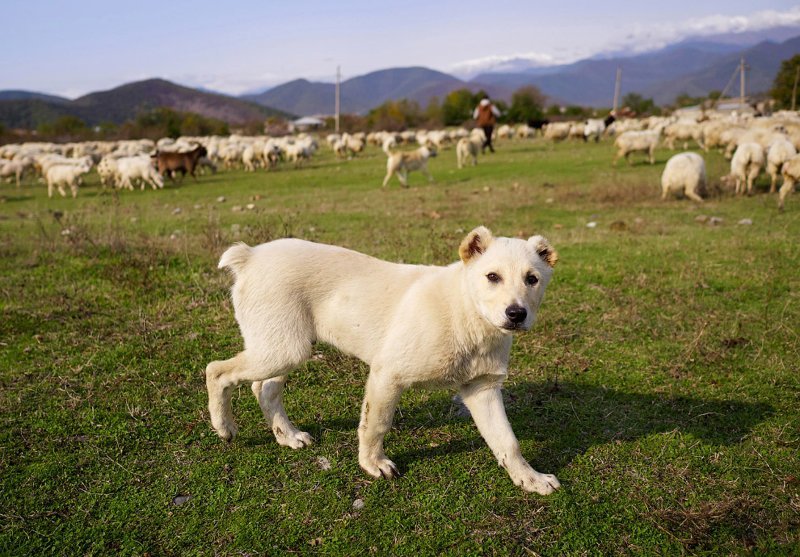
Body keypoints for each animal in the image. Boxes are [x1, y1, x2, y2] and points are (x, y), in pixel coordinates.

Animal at [206, 226, 564, 496]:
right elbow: (376, 424)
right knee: (216, 371)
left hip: (285, 347)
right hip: (283, 348)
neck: (466, 314)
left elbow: (507, 441)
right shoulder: (387, 374)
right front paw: (372, 464)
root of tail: (251, 255)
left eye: (532, 279)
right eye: (492, 276)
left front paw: (530, 478)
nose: (516, 314)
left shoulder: (482, 389)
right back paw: (224, 427)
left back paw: (287, 435)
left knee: (264, 389)